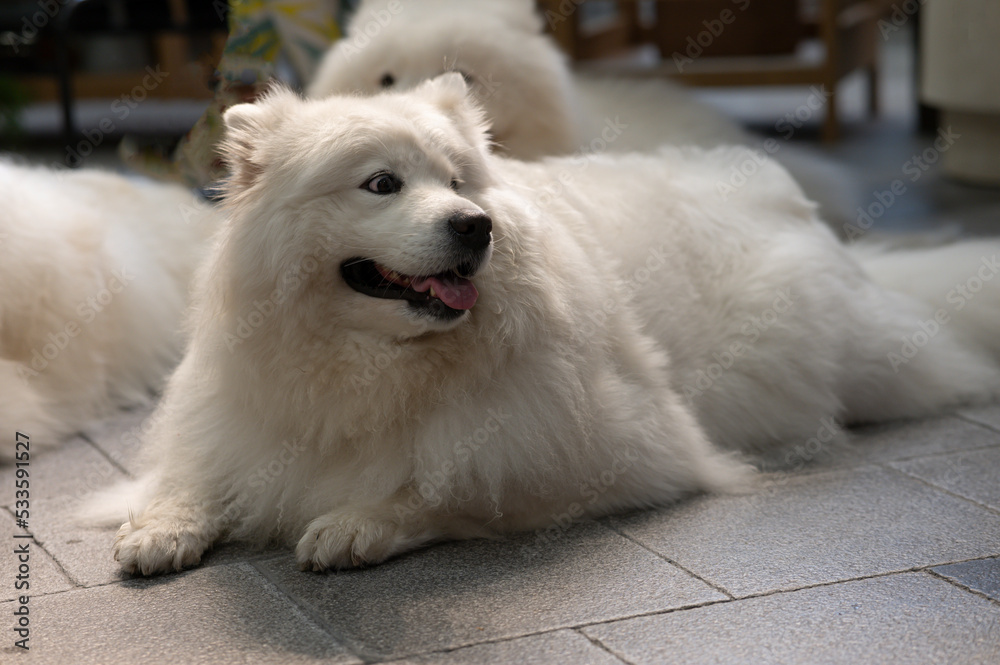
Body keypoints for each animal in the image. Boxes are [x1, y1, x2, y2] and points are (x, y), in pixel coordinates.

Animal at [111, 79, 1000, 576]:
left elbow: (441, 490)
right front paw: (157, 527)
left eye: (459, 182)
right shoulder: (235, 415)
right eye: (381, 183)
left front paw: (357, 522)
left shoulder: (608, 452)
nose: (476, 226)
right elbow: (192, 477)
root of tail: (787, 198)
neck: (371, 363)